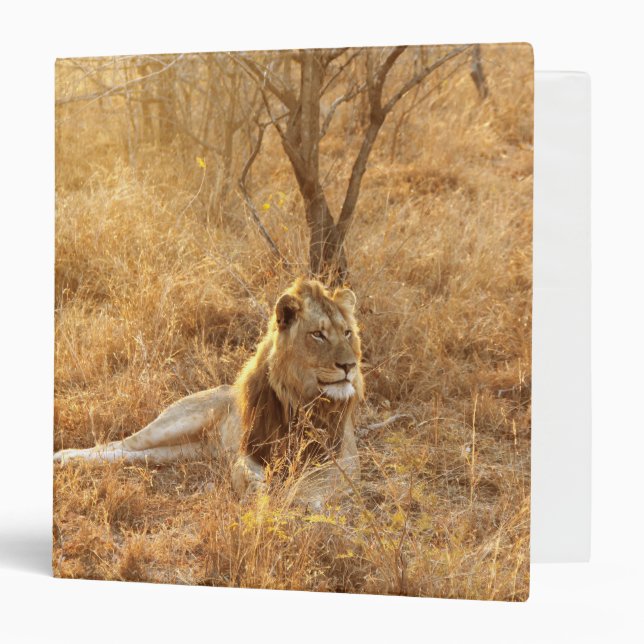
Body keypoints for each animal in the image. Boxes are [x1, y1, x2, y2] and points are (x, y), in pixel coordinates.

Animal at [54, 278, 364, 506]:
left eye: (347, 333)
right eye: (318, 335)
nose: (349, 365)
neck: (302, 399)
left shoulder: (346, 458)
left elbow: (318, 480)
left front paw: (297, 498)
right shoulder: (251, 449)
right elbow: (242, 471)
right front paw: (257, 492)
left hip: (183, 451)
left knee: (135, 455)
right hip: (175, 423)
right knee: (119, 444)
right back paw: (65, 457)